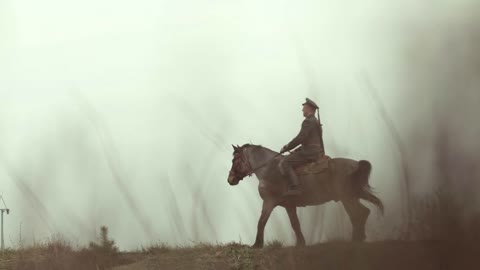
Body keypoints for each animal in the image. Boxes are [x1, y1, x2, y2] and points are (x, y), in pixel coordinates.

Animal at [227, 144, 384, 248]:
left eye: (235, 160)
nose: (230, 179)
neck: (269, 170)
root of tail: (356, 164)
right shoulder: (289, 206)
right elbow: (295, 224)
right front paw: (301, 243)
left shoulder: (269, 202)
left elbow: (261, 222)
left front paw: (257, 244)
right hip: (355, 195)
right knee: (363, 212)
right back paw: (359, 238)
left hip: (347, 198)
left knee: (357, 214)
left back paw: (356, 239)